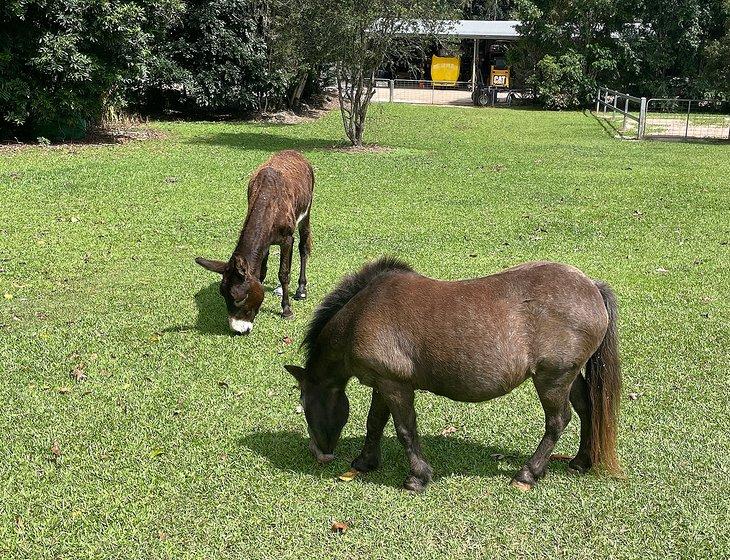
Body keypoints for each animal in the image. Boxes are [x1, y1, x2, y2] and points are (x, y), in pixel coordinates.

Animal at [195, 149, 312, 332]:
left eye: (240, 298)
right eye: (223, 295)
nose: (238, 330)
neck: (268, 199)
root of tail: (293, 152)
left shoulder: (286, 239)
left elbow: (284, 273)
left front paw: (286, 310)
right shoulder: (265, 243)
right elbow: (263, 272)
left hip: (307, 211)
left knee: (303, 247)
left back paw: (301, 290)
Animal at [286, 258, 620, 490]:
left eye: (303, 404)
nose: (320, 454)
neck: (360, 315)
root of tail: (592, 286)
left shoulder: (395, 385)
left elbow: (405, 429)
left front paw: (417, 477)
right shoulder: (382, 383)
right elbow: (374, 423)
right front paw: (365, 462)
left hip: (552, 378)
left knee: (557, 421)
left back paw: (528, 474)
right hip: (568, 375)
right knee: (586, 409)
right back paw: (580, 461)